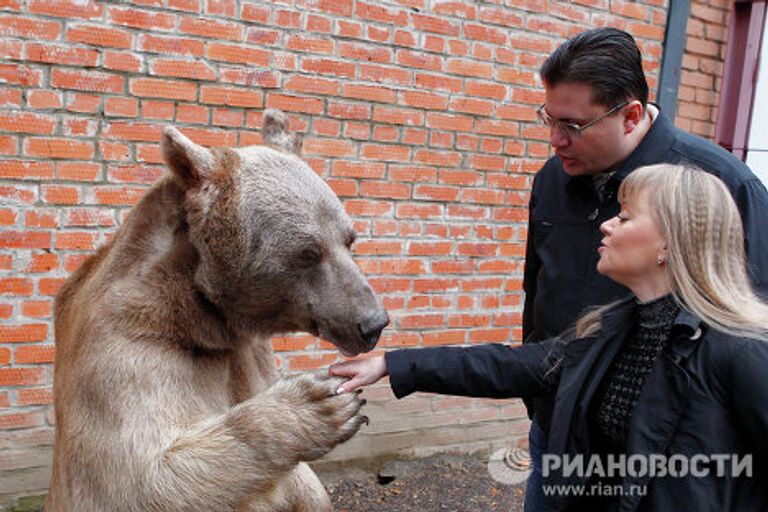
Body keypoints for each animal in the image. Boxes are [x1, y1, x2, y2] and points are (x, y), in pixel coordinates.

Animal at [45, 110, 388, 510]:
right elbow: (144, 476)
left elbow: (305, 487)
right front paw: (323, 402)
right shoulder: (129, 345)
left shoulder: (249, 352)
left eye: (349, 240)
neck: (204, 316)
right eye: (308, 252)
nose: (372, 322)